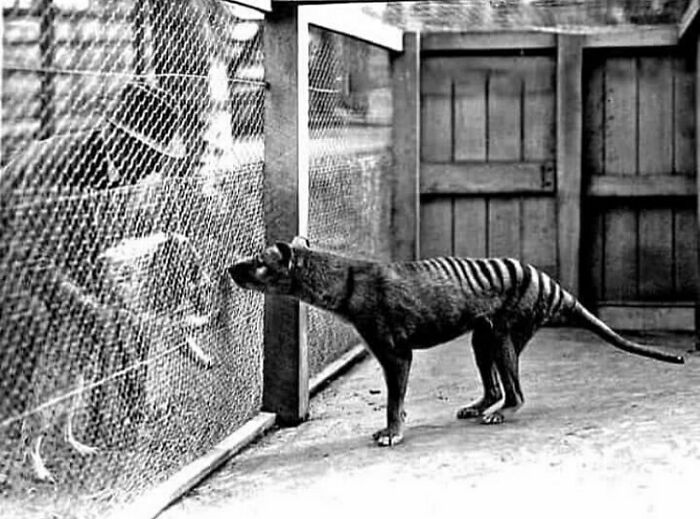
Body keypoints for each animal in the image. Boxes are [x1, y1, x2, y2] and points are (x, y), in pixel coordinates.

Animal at [228, 237, 684, 447]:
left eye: (259, 263)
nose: (231, 269)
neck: (345, 281)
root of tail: (550, 284)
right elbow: (398, 397)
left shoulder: (395, 351)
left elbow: (393, 395)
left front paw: (392, 431)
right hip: (482, 337)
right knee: (494, 384)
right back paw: (480, 405)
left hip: (504, 332)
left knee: (515, 391)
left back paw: (501, 413)